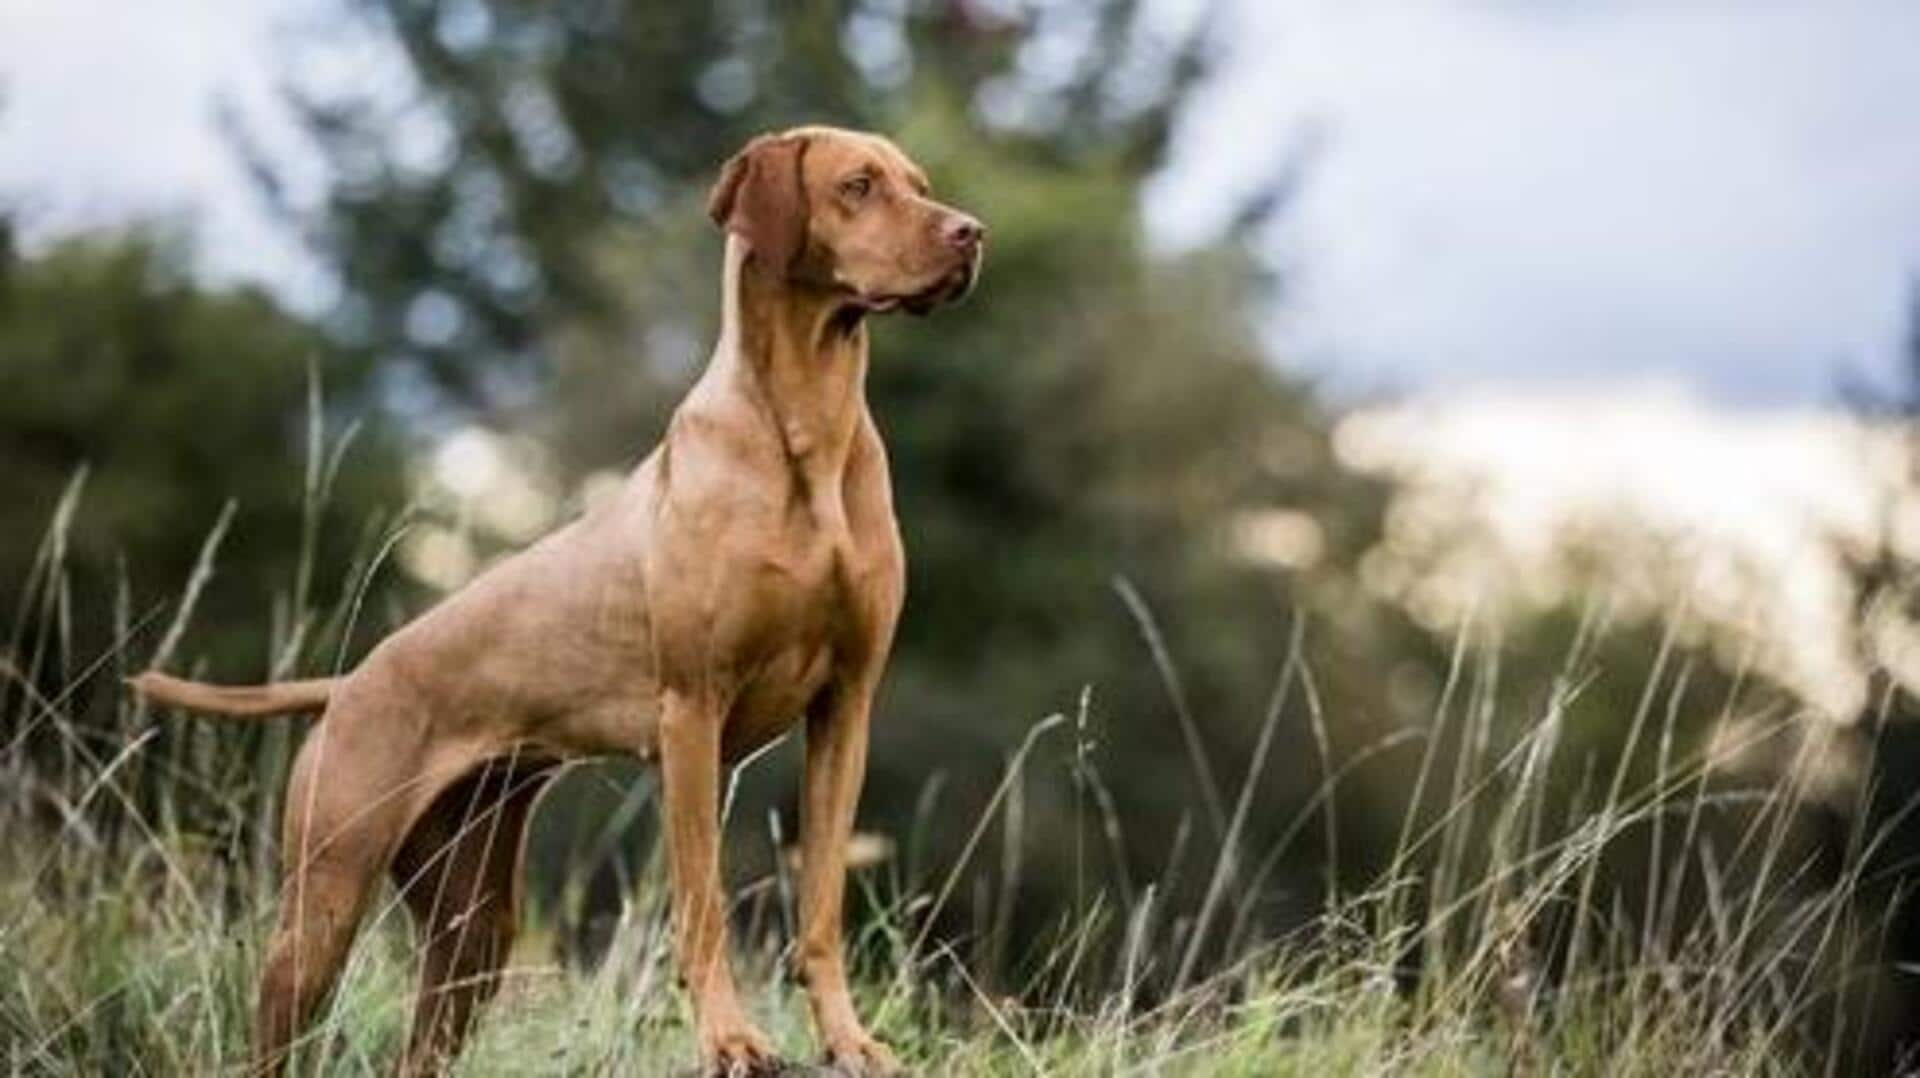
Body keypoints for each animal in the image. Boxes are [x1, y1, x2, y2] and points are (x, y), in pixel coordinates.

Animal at [131, 127, 990, 1076]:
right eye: (859, 186)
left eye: (919, 183)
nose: (971, 233)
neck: (805, 427)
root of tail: (350, 683)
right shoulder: (691, 714)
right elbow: (703, 906)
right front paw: (729, 1040)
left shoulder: (845, 705)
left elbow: (823, 910)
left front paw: (846, 1039)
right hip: (323, 900)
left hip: (471, 930)